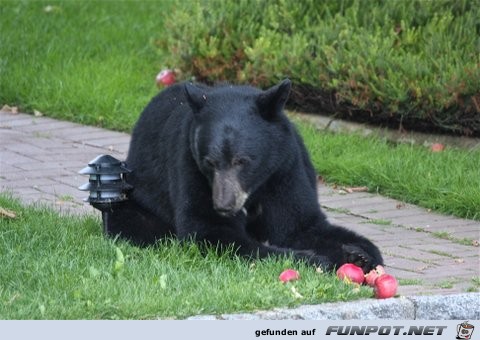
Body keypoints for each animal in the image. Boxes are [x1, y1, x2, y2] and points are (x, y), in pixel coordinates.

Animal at [105, 78, 382, 272]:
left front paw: (359, 254)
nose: (223, 204)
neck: (256, 185)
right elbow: (212, 230)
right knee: (134, 221)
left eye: (242, 161)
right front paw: (310, 259)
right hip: (134, 198)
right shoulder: (188, 163)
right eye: (209, 162)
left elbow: (300, 224)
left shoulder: (284, 167)